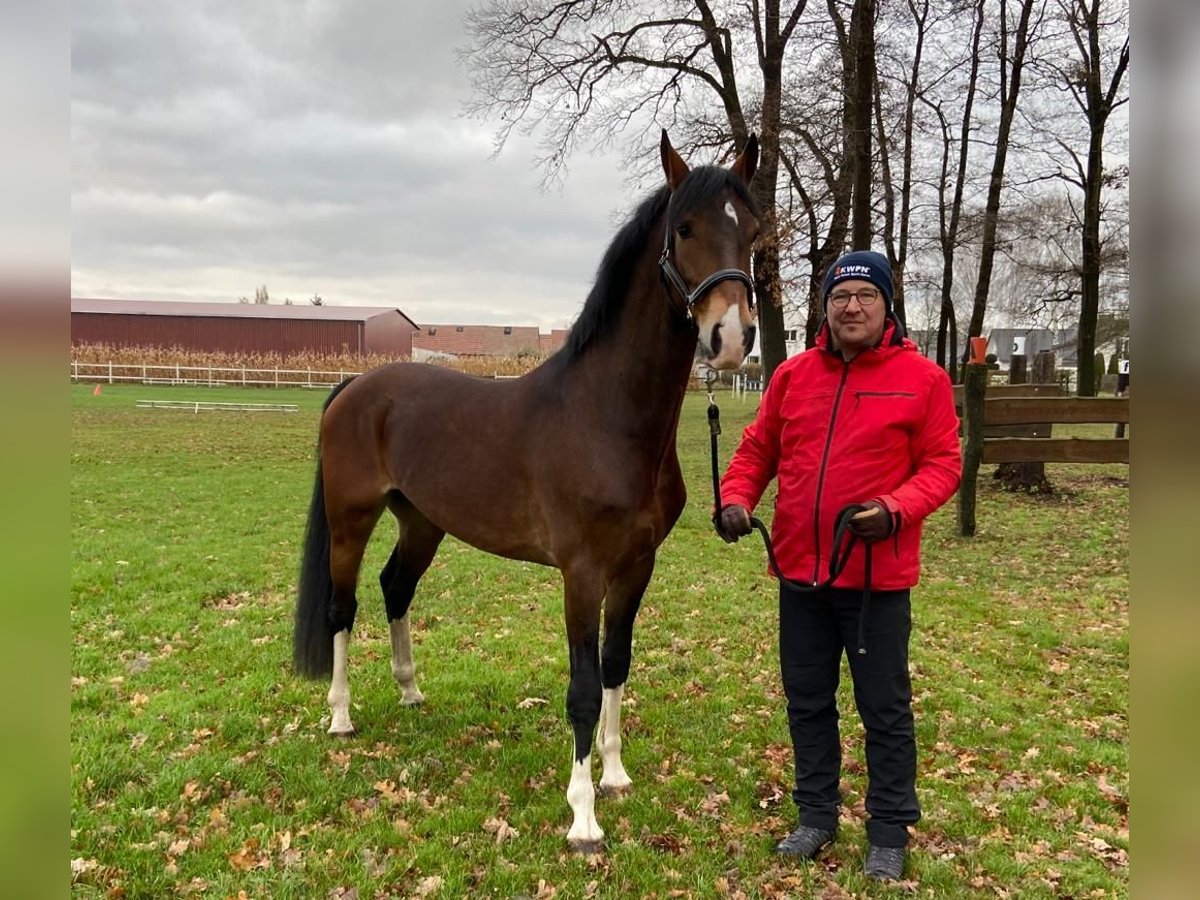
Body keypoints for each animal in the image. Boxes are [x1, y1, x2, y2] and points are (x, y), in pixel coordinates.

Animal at [292, 128, 758, 854]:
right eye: (685, 228)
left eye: (755, 231)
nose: (731, 338)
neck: (605, 416)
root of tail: (355, 387)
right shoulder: (582, 572)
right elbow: (583, 685)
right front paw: (583, 817)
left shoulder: (637, 566)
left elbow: (617, 664)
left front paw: (615, 775)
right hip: (351, 518)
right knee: (344, 607)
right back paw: (341, 717)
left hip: (421, 521)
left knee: (396, 588)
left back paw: (410, 692)